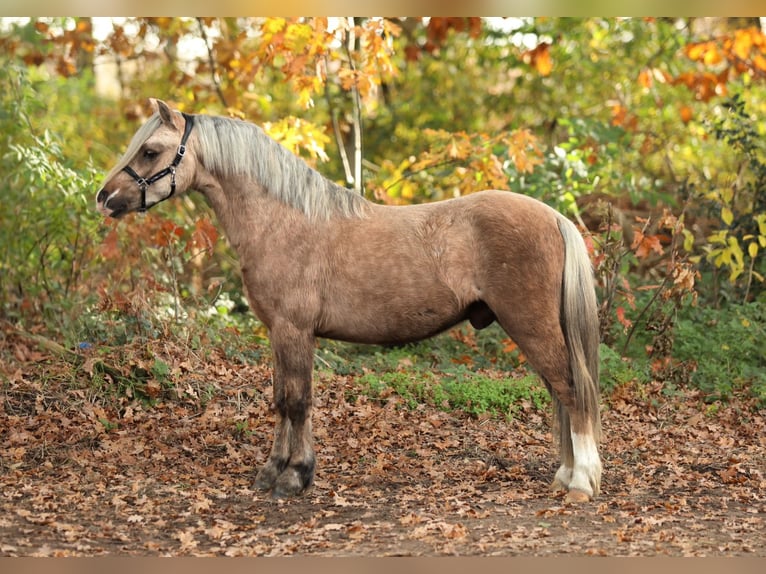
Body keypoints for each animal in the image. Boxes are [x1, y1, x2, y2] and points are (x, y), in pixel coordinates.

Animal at [96, 99, 602, 503]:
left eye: (150, 150)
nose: (104, 198)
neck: (283, 220)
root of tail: (553, 216)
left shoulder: (295, 330)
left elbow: (297, 402)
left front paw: (294, 477)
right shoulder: (280, 333)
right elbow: (281, 400)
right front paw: (273, 472)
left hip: (531, 325)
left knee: (570, 390)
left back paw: (580, 483)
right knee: (560, 393)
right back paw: (565, 476)